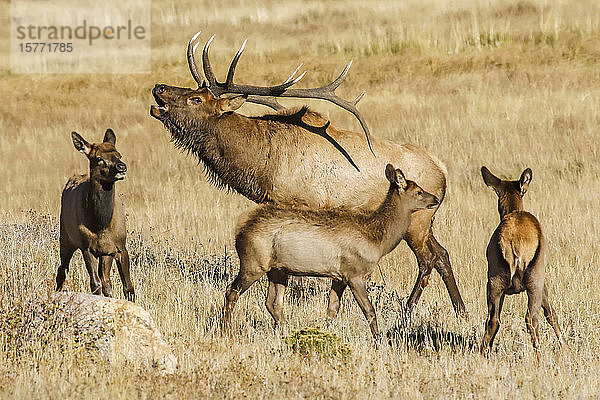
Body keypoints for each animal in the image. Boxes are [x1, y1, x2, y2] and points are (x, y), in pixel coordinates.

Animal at [56, 130, 135, 302]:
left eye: (119, 154)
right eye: (99, 158)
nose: (122, 167)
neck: (101, 225)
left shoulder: (120, 246)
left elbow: (128, 287)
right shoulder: (86, 247)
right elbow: (95, 284)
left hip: (105, 254)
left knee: (106, 280)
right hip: (65, 238)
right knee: (62, 270)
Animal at [149, 32, 464, 316]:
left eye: (196, 99)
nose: (159, 87)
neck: (261, 163)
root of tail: (442, 169)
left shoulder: (298, 202)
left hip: (418, 219)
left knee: (427, 258)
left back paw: (409, 309)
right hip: (426, 219)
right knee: (442, 253)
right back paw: (460, 310)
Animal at [223, 163, 438, 338]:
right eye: (419, 191)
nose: (435, 198)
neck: (378, 239)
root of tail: (240, 228)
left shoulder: (339, 276)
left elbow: (332, 309)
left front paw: (324, 332)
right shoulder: (354, 272)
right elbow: (369, 310)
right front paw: (379, 340)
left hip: (277, 269)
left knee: (273, 302)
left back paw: (285, 329)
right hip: (253, 261)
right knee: (231, 292)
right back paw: (226, 330)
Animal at [478, 166, 564, 360]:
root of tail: (513, 244)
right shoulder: (543, 284)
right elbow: (551, 314)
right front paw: (566, 348)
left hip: (495, 282)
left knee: (493, 319)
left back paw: (482, 354)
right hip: (534, 282)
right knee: (531, 318)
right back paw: (539, 359)